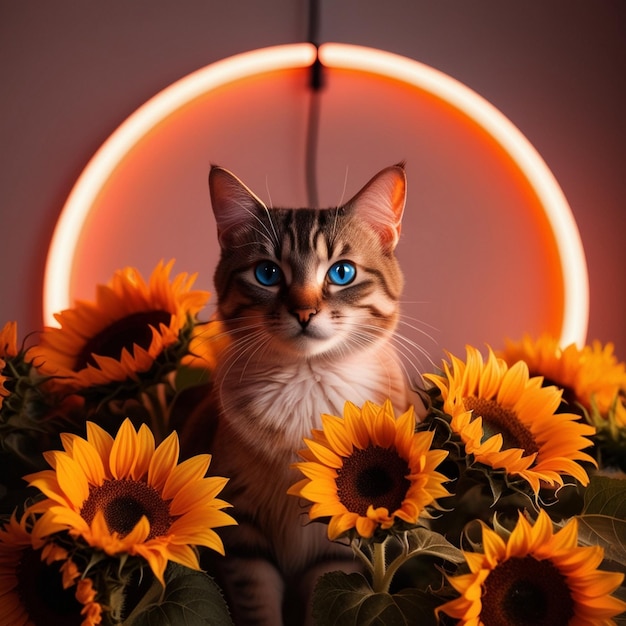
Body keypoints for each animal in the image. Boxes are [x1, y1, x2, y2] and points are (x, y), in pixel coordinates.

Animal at [180, 163, 424, 620]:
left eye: (342, 273)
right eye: (268, 273)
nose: (304, 312)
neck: (307, 388)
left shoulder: (339, 540)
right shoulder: (243, 534)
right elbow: (259, 609)